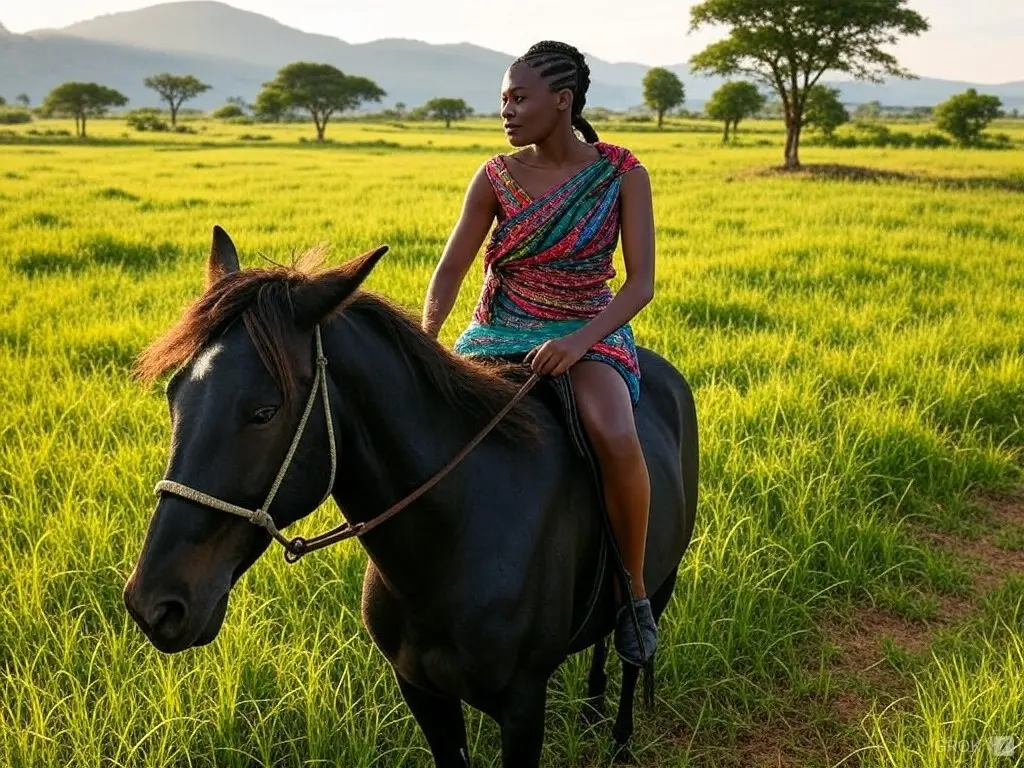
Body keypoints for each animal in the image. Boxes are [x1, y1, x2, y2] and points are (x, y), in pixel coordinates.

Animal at [121, 225, 696, 765]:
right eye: (175, 395)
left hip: (659, 583)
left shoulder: (523, 706)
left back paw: (618, 739)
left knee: (632, 653)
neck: (455, 536)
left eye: (264, 412)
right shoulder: (422, 691)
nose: (154, 605)